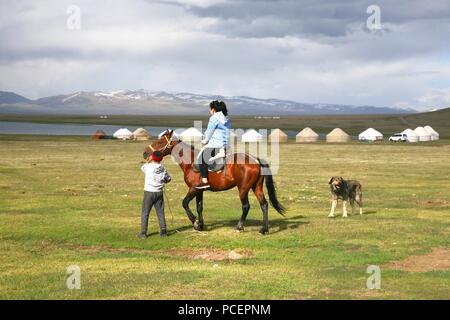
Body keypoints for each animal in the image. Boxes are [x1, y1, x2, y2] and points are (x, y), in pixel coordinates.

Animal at [142, 129, 286, 234]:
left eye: (160, 141)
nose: (145, 153)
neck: (190, 163)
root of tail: (255, 159)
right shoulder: (199, 191)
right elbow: (199, 207)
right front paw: (201, 225)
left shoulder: (193, 189)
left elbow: (185, 203)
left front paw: (195, 222)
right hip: (256, 187)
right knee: (264, 204)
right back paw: (264, 229)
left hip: (243, 189)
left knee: (246, 206)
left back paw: (239, 227)